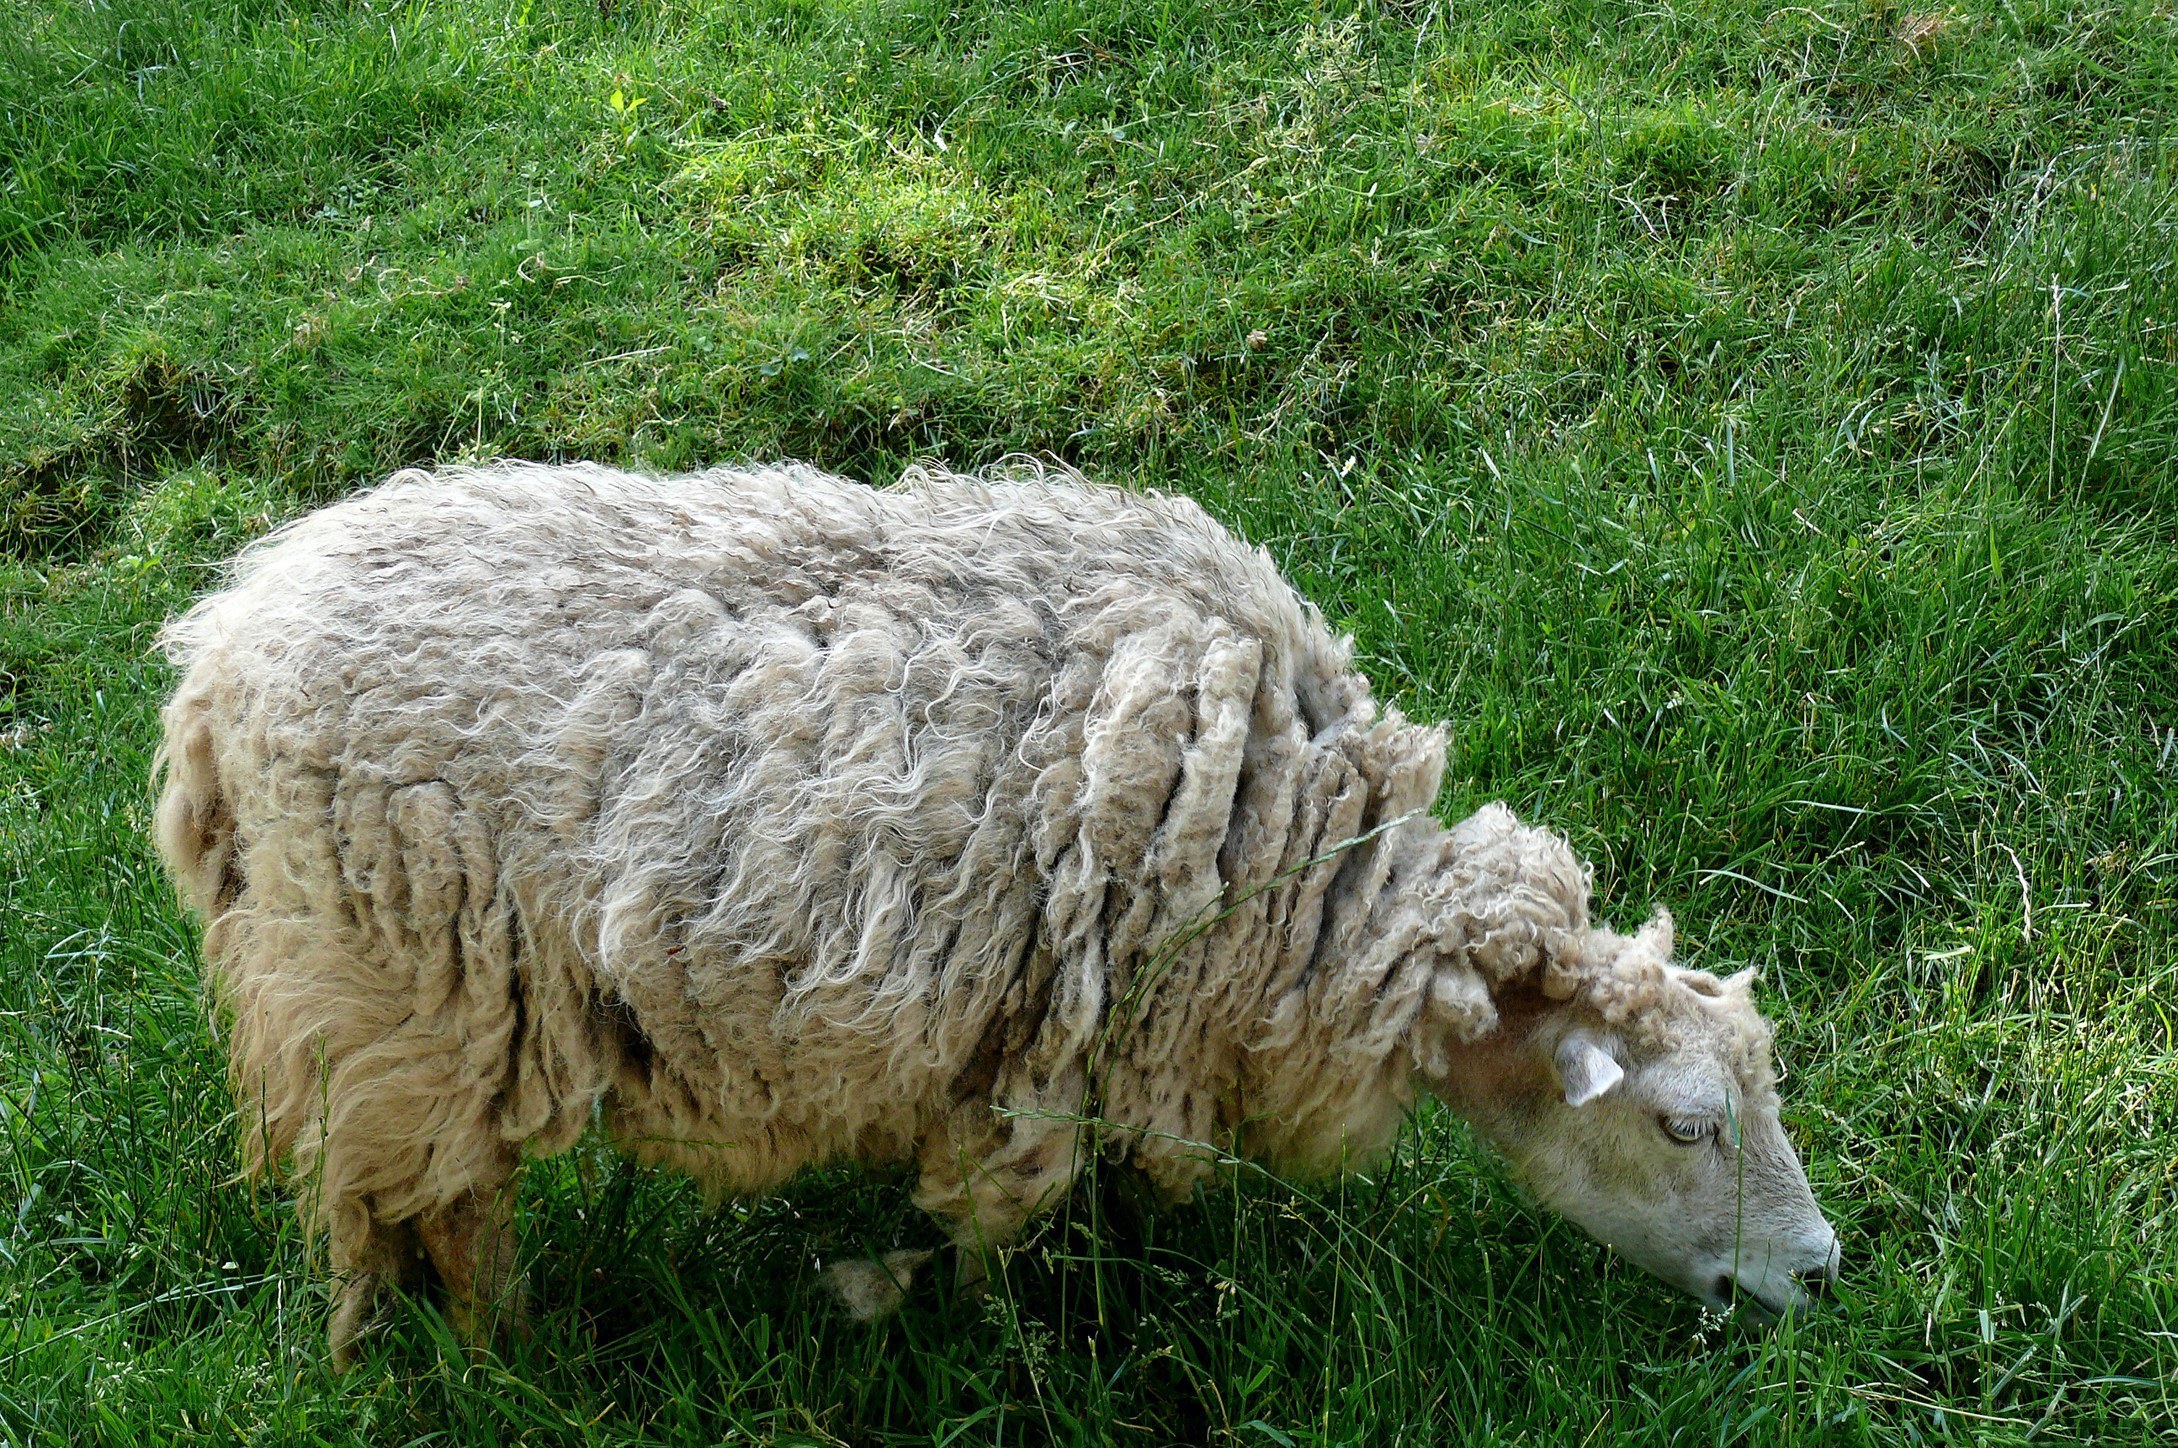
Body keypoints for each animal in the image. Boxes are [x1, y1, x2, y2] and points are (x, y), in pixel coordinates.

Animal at [152, 460, 1840, 1365]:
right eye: (1685, 1126)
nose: (1821, 1273)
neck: (1314, 876)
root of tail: (220, 652)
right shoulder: (1037, 1040)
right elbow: (996, 1220)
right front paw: (962, 1323)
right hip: (392, 993)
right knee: (420, 1208)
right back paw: (487, 1358)